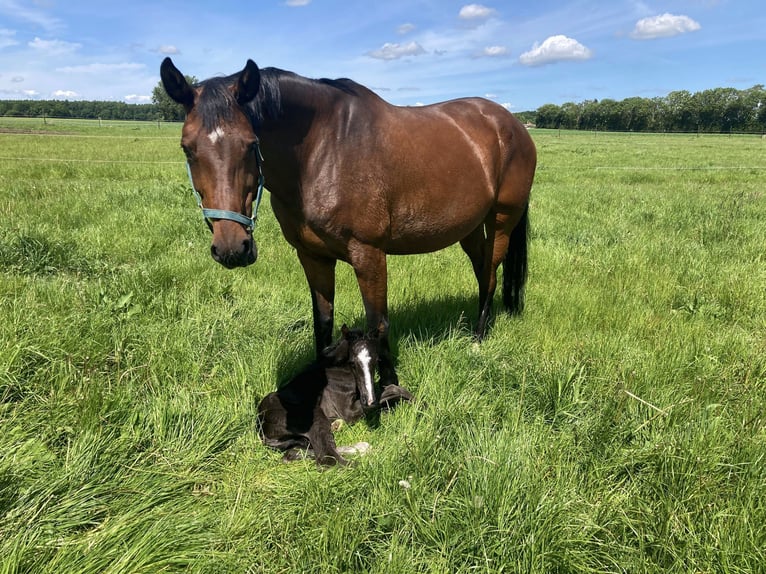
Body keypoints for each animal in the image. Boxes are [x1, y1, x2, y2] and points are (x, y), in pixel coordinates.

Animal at [160, 57, 536, 385]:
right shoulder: (312, 256)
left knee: (491, 272)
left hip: (501, 220)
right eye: (187, 148)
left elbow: (378, 323)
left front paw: (388, 388)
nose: (232, 248)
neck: (323, 150)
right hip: (469, 227)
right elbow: (323, 321)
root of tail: (511, 123)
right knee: (483, 271)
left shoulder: (368, 253)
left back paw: (478, 339)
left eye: (251, 143)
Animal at [258, 324, 413, 466]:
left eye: (376, 361)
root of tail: (261, 424)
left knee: (295, 452)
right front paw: (417, 404)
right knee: (328, 458)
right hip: (314, 416)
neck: (334, 369)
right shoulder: (348, 412)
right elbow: (393, 389)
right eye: (353, 362)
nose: (370, 402)